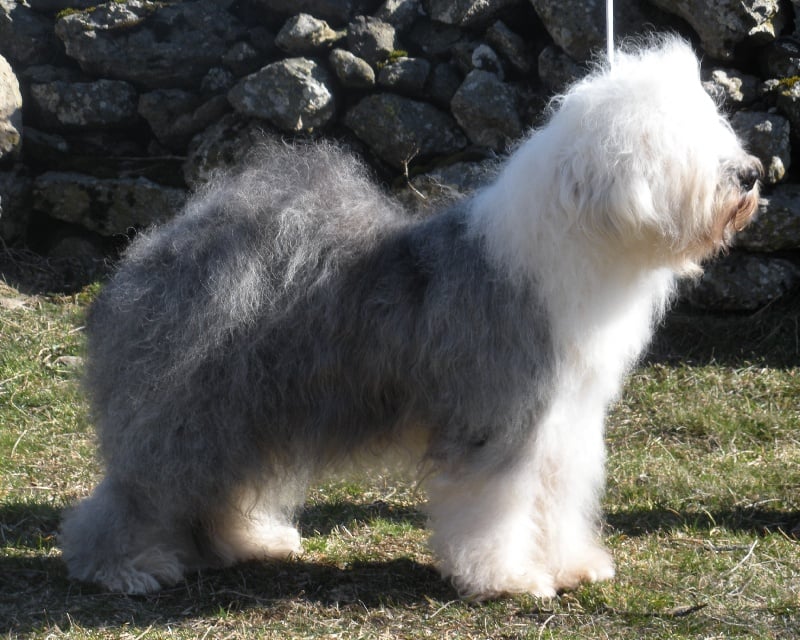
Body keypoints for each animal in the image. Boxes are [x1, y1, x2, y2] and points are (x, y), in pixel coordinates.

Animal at [62, 38, 764, 600]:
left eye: (713, 124)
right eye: (678, 140)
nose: (753, 172)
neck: (575, 246)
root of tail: (163, 241)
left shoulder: (563, 424)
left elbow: (559, 498)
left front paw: (571, 566)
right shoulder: (497, 417)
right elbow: (496, 503)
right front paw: (509, 580)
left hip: (245, 403)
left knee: (218, 486)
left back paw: (251, 541)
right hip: (188, 407)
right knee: (139, 490)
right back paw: (125, 568)